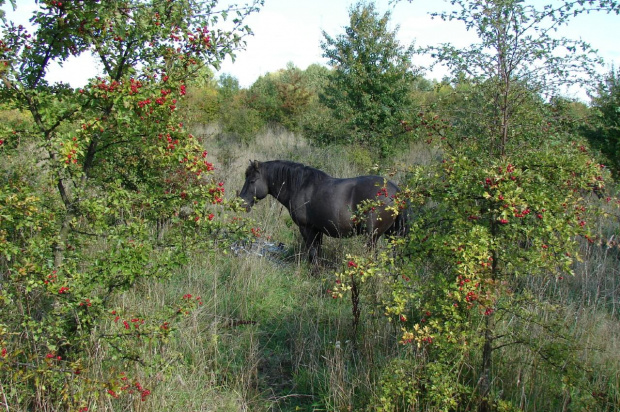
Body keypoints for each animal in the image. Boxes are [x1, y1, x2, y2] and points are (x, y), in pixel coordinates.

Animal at [237, 159, 406, 262]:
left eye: (252, 181)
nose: (241, 204)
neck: (301, 186)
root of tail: (396, 191)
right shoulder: (318, 230)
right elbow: (317, 251)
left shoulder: (307, 228)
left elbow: (312, 252)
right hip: (391, 235)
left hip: (372, 237)